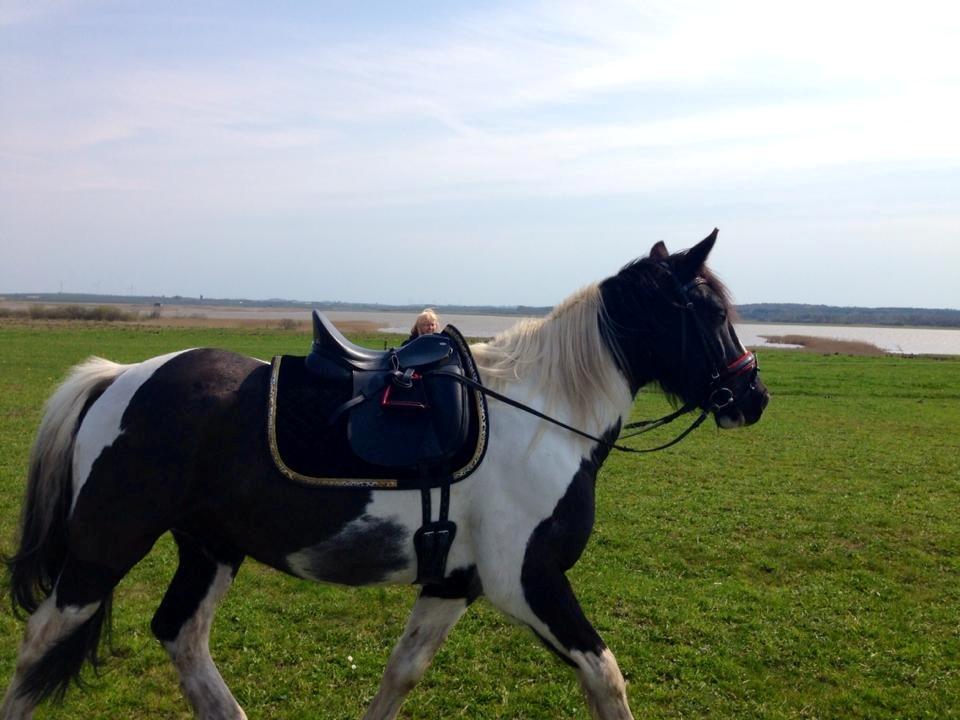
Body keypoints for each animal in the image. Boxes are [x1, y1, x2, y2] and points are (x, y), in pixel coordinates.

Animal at [0, 231, 764, 720]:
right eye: (705, 310)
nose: (752, 397)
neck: (545, 416)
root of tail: (120, 378)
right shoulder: (527, 580)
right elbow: (606, 678)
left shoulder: (456, 582)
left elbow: (403, 670)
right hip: (105, 548)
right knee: (40, 640)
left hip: (210, 547)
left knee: (180, 635)